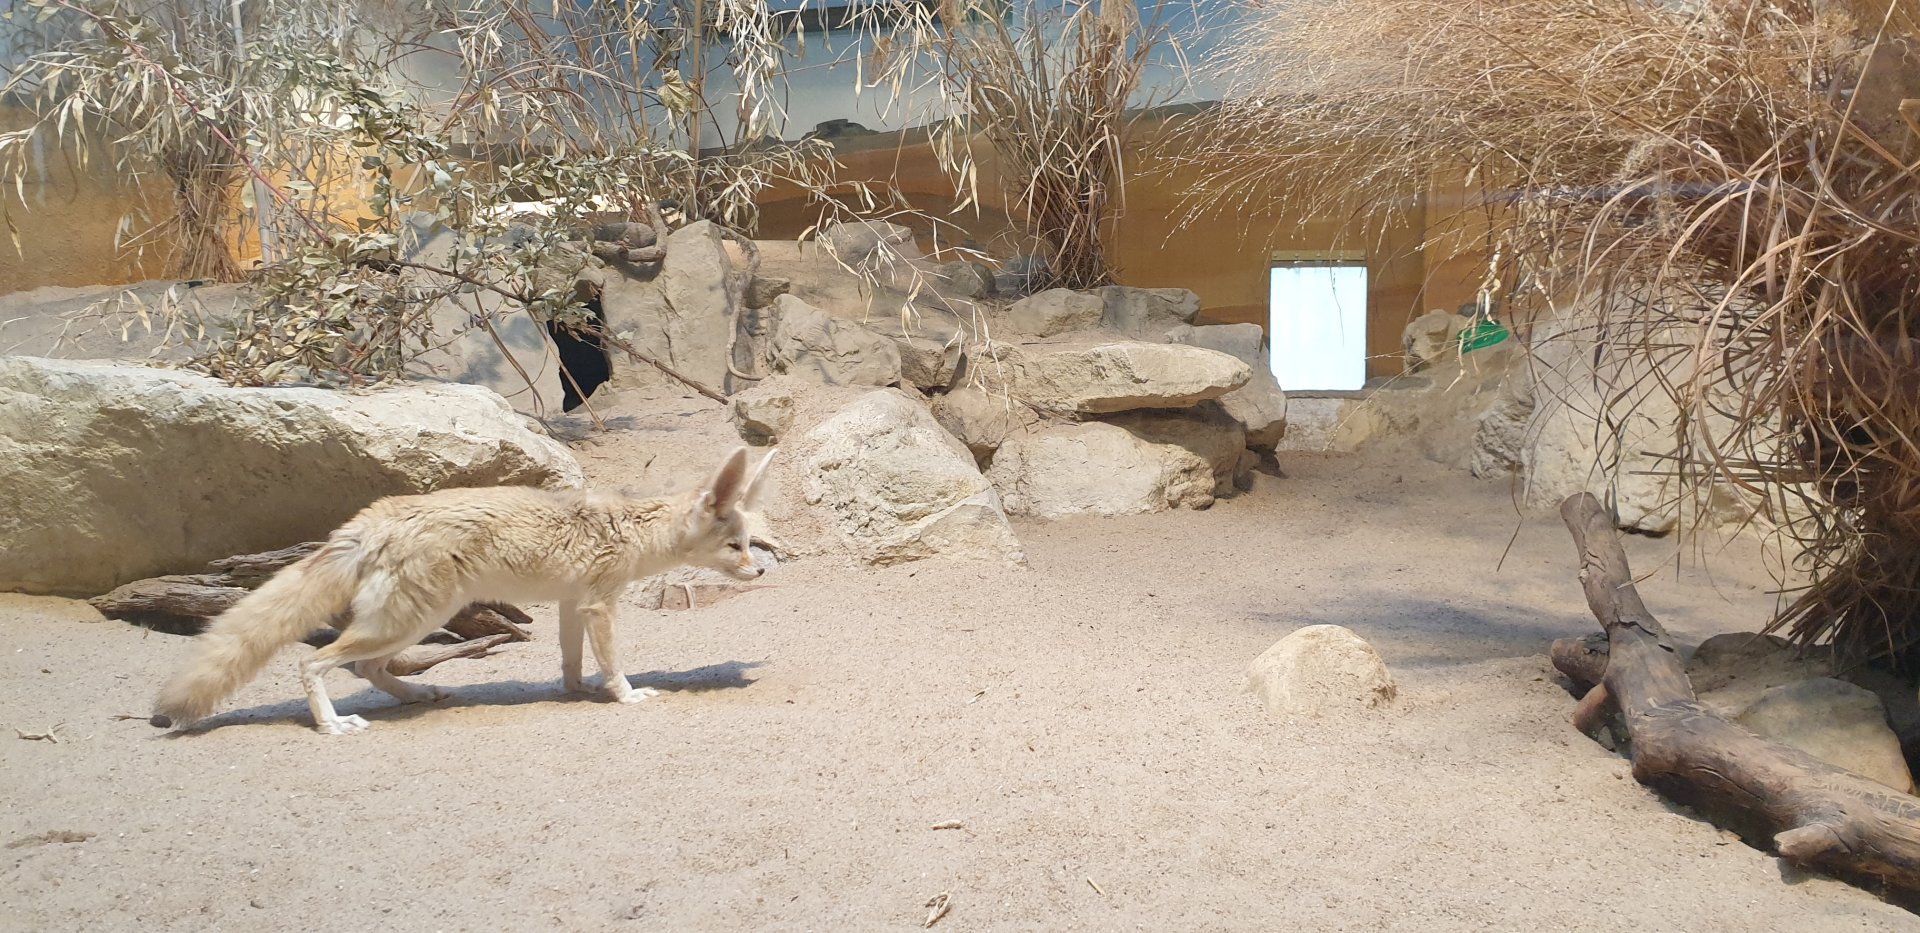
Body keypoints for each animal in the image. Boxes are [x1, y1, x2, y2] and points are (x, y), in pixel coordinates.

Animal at [151, 446, 777, 735]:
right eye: (736, 547)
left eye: (751, 543)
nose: (762, 574)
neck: (634, 526)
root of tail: (375, 516)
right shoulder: (601, 602)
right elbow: (612, 662)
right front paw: (624, 694)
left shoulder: (572, 602)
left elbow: (572, 658)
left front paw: (577, 690)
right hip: (411, 619)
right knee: (318, 663)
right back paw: (332, 724)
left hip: (412, 620)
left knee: (367, 668)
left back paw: (417, 694)